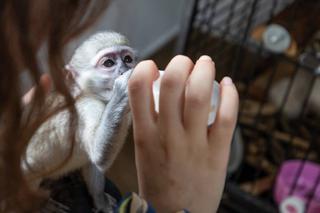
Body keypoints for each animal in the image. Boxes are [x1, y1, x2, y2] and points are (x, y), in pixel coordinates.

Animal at [23, 30, 136, 212]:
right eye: (109, 63)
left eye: (127, 59)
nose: (125, 69)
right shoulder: (87, 108)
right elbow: (99, 155)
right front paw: (124, 87)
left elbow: (93, 163)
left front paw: (101, 202)